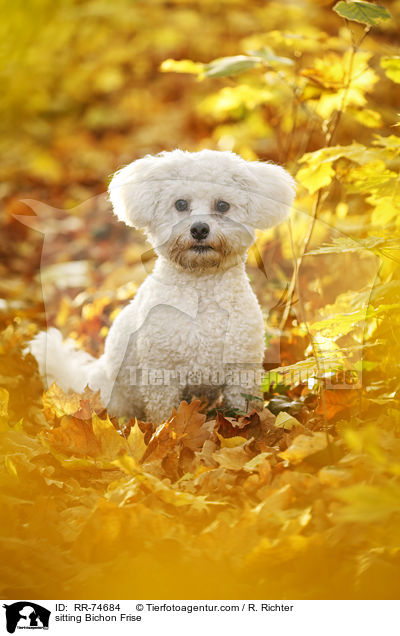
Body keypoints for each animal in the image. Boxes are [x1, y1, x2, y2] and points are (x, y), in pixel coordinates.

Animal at [30, 149, 294, 422]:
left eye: (223, 205)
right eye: (180, 204)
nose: (199, 228)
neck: (201, 290)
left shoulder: (242, 370)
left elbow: (243, 411)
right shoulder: (161, 374)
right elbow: (165, 416)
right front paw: (166, 431)